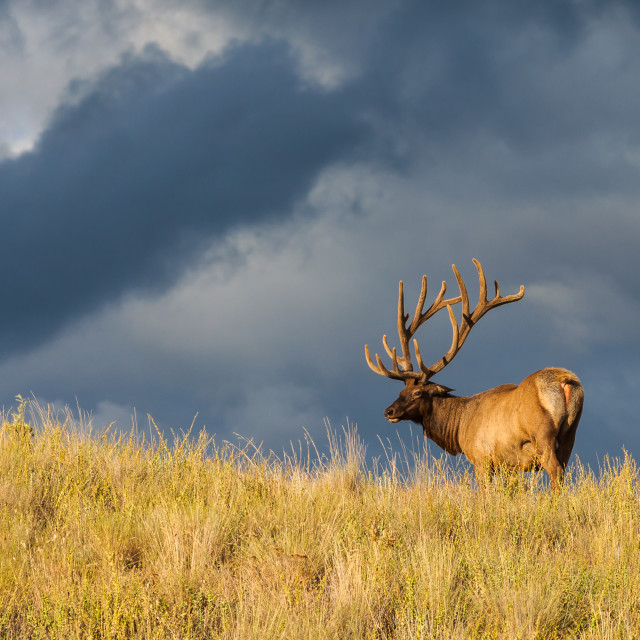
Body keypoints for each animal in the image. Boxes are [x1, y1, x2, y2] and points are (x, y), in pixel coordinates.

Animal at [362, 260, 584, 490]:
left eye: (417, 393)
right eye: (401, 391)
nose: (388, 411)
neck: (460, 425)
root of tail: (565, 380)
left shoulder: (481, 458)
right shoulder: (510, 467)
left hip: (542, 435)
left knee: (555, 471)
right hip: (570, 435)